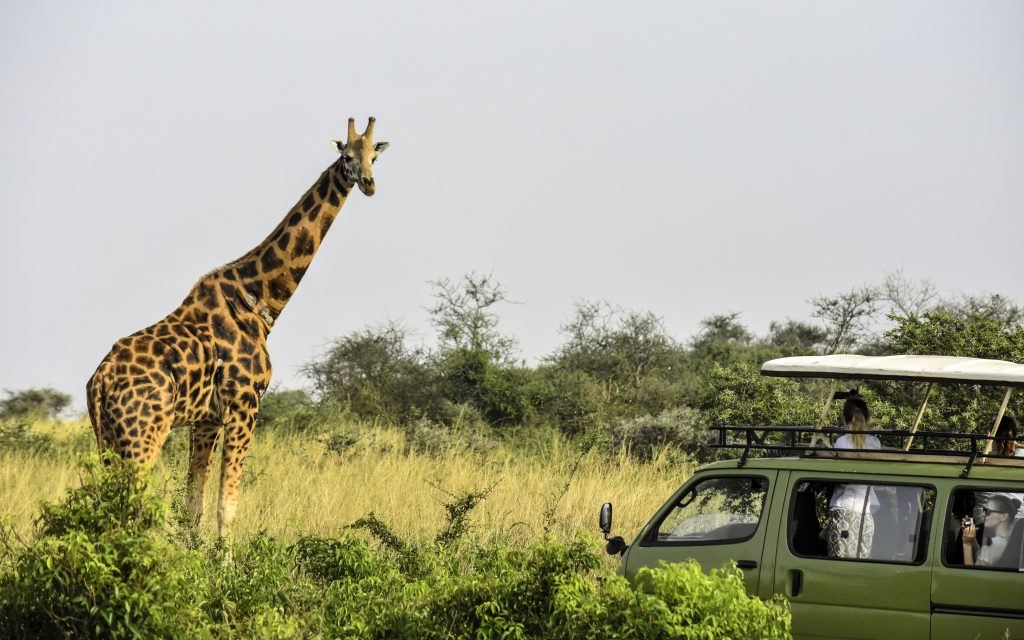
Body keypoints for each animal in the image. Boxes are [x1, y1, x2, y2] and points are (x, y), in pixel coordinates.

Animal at [86, 117, 388, 543]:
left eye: (374, 156)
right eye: (346, 156)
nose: (368, 183)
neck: (261, 298)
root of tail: (100, 381)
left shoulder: (206, 418)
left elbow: (193, 506)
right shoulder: (246, 402)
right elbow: (226, 507)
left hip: (108, 438)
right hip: (143, 435)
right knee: (130, 509)